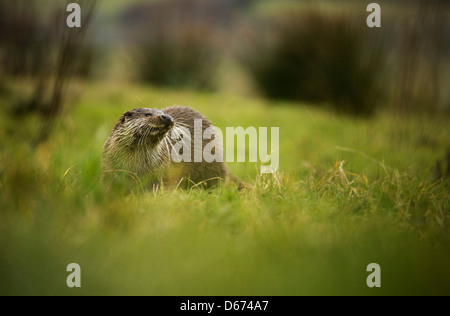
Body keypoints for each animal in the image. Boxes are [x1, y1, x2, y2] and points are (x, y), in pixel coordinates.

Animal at [103, 106, 243, 190]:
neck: (135, 166)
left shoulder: (162, 172)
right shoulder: (109, 168)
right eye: (148, 115)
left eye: (163, 113)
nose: (168, 117)